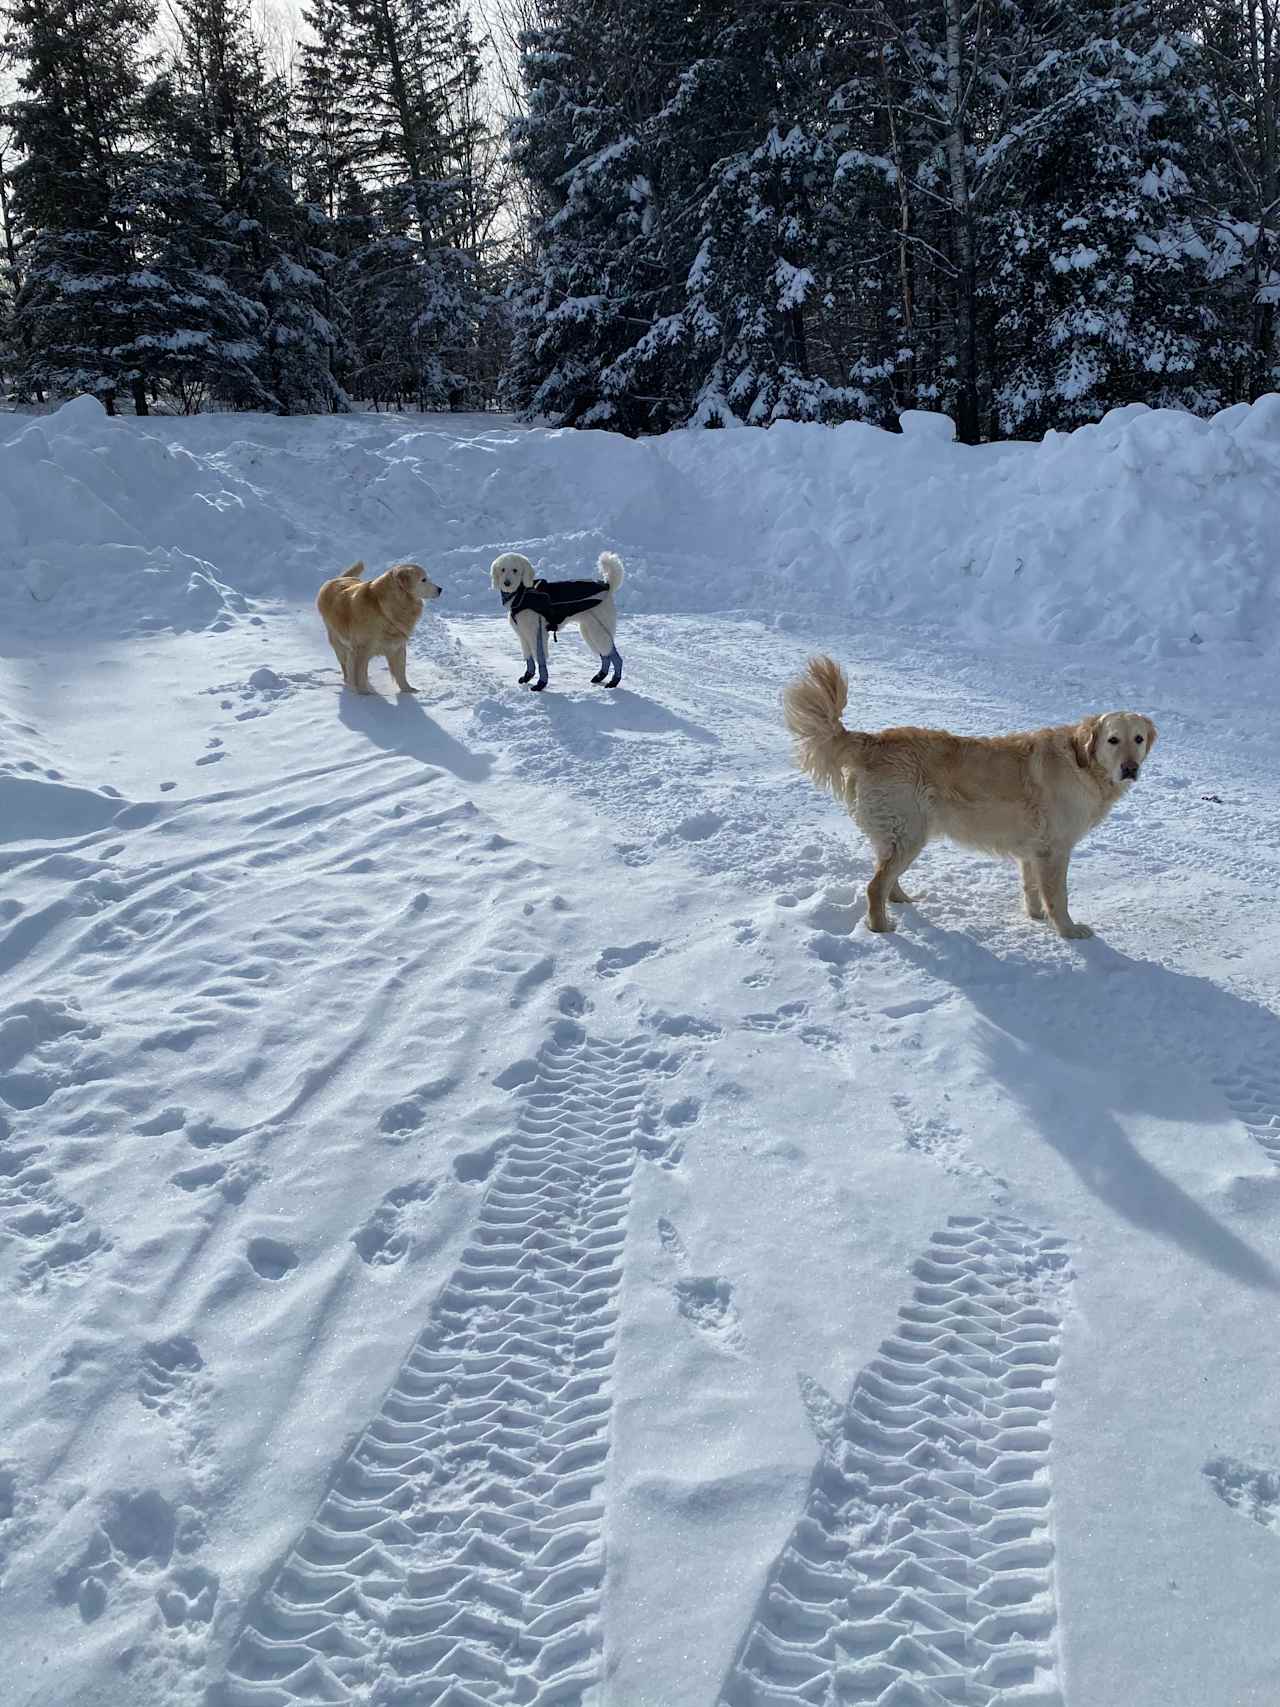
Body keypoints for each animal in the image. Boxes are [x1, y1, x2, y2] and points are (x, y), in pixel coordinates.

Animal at [319, 559, 443, 693]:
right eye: (423, 580)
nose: (440, 589)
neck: (384, 608)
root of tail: (337, 579)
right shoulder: (361, 650)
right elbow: (359, 673)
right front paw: (364, 692)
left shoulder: (397, 647)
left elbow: (401, 673)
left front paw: (408, 690)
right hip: (338, 643)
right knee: (346, 666)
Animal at [788, 655, 1160, 949]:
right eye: (1113, 740)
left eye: (1138, 739)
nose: (1130, 768)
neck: (1082, 763)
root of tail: (872, 741)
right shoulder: (1055, 849)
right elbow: (1058, 895)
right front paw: (1068, 931)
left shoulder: (1033, 849)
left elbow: (1032, 887)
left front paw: (1035, 917)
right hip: (909, 832)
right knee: (874, 886)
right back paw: (882, 928)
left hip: (900, 833)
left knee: (885, 876)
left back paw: (902, 899)